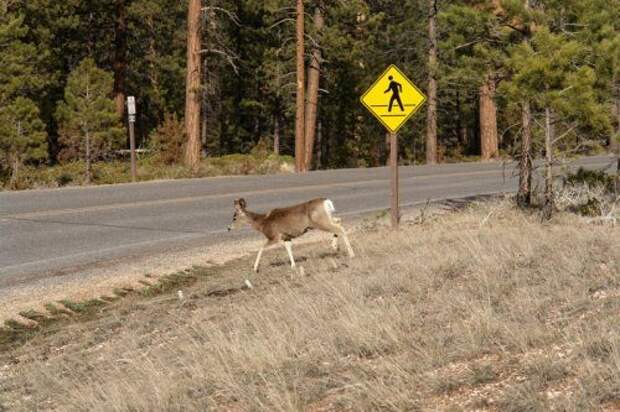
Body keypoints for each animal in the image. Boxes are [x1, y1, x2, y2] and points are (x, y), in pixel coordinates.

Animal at [226, 197, 354, 272]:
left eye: (234, 217)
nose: (228, 228)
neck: (262, 223)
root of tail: (326, 202)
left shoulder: (275, 236)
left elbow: (261, 248)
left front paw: (255, 268)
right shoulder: (286, 237)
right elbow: (288, 248)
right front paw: (293, 265)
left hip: (319, 221)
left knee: (340, 229)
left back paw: (350, 254)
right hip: (326, 219)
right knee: (339, 221)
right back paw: (335, 247)